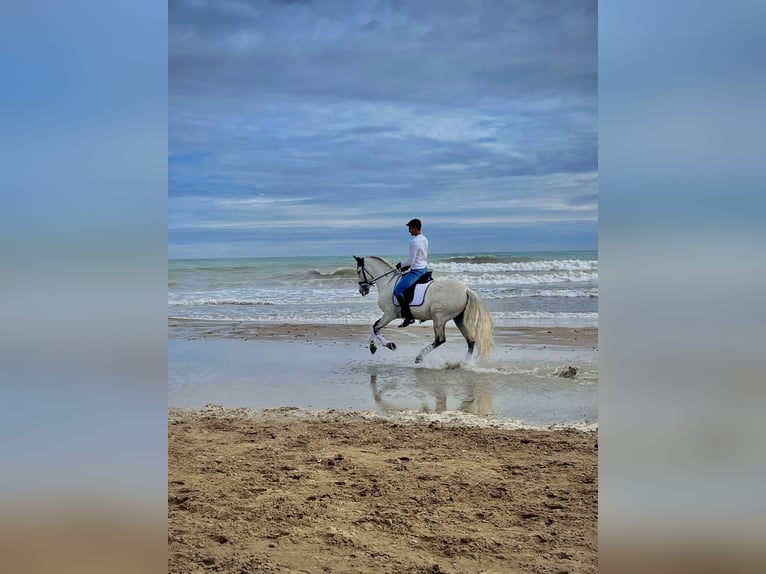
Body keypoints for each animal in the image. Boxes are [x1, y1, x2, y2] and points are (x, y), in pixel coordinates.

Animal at [353, 255, 494, 363]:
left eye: (359, 271)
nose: (362, 290)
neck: (388, 283)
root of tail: (466, 290)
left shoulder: (389, 315)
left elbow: (376, 327)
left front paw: (383, 345)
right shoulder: (388, 315)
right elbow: (375, 326)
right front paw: (376, 345)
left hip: (439, 318)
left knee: (440, 340)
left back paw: (420, 356)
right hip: (458, 319)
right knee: (470, 341)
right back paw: (466, 363)